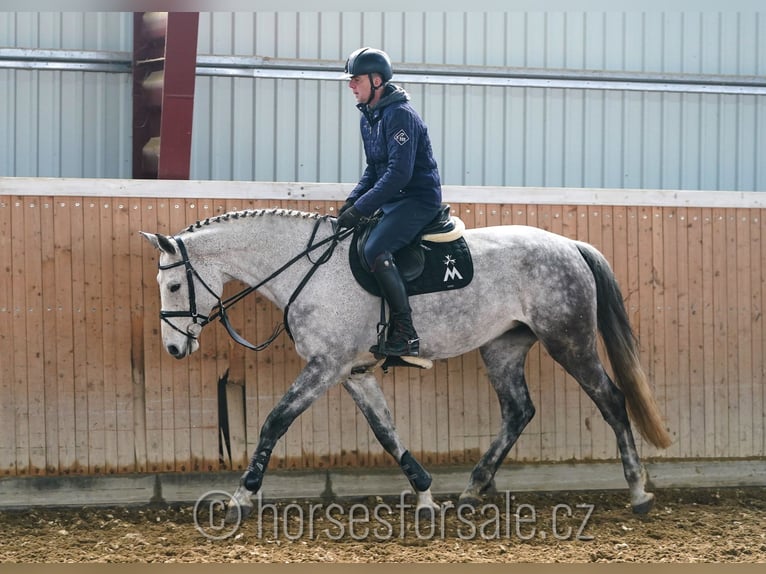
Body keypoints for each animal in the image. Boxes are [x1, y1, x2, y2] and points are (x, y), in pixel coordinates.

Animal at [142, 207, 672, 520]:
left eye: (173, 285)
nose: (173, 349)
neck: (309, 270)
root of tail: (570, 247)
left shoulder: (326, 366)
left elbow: (275, 421)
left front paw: (241, 496)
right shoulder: (352, 372)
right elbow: (385, 431)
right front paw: (425, 496)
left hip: (569, 341)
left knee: (611, 400)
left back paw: (638, 493)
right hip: (503, 347)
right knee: (518, 411)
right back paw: (471, 491)